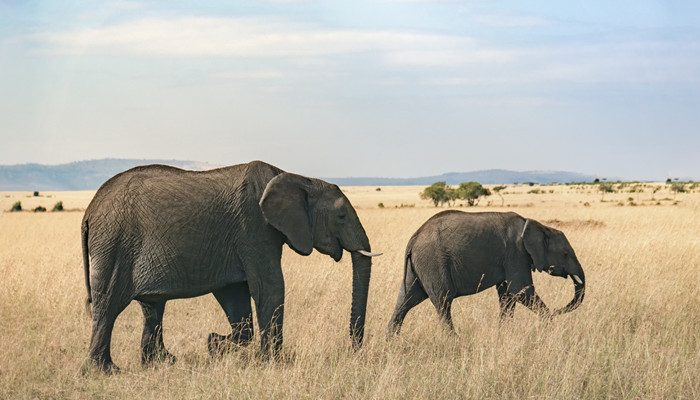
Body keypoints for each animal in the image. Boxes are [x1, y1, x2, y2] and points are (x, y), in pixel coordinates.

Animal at [80, 159, 382, 372]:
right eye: (341, 216)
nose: (353, 351)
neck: (297, 177)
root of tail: (89, 211)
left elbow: (236, 295)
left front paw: (214, 344)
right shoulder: (254, 226)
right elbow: (270, 287)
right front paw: (274, 363)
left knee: (152, 307)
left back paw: (162, 363)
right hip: (115, 244)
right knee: (108, 305)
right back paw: (106, 371)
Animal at [388, 211, 584, 336]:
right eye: (566, 254)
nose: (558, 310)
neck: (536, 225)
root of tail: (413, 239)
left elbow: (507, 296)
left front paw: (503, 334)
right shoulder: (516, 253)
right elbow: (520, 290)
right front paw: (549, 326)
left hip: (419, 266)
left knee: (405, 300)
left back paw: (392, 341)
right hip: (433, 262)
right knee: (443, 302)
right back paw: (454, 341)